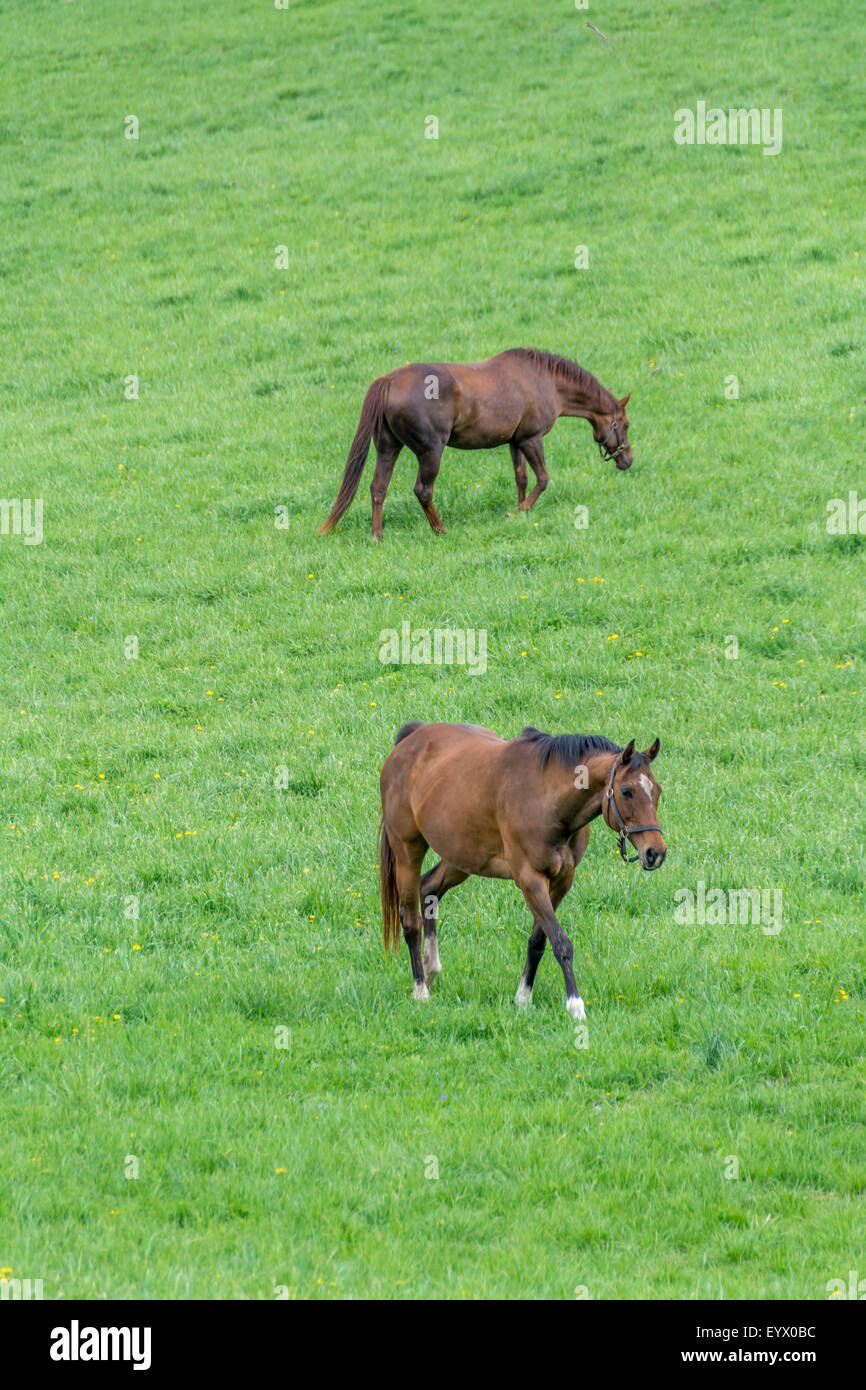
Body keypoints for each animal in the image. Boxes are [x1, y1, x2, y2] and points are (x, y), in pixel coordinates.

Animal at [318, 348, 633, 539]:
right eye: (626, 424)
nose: (627, 460)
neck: (546, 381)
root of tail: (389, 381)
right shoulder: (532, 439)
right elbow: (542, 479)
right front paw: (518, 512)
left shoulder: (515, 442)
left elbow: (521, 478)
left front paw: (519, 510)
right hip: (431, 452)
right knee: (423, 491)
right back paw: (440, 530)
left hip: (388, 448)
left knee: (378, 488)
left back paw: (377, 535)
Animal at [378, 721, 666, 1018]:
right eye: (627, 791)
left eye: (657, 791)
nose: (655, 852)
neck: (547, 799)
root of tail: (413, 736)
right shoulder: (531, 881)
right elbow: (561, 943)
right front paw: (575, 1004)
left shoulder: (562, 881)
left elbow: (538, 940)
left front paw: (524, 997)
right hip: (408, 851)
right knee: (411, 920)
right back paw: (420, 988)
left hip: (460, 858)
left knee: (429, 888)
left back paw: (431, 969)